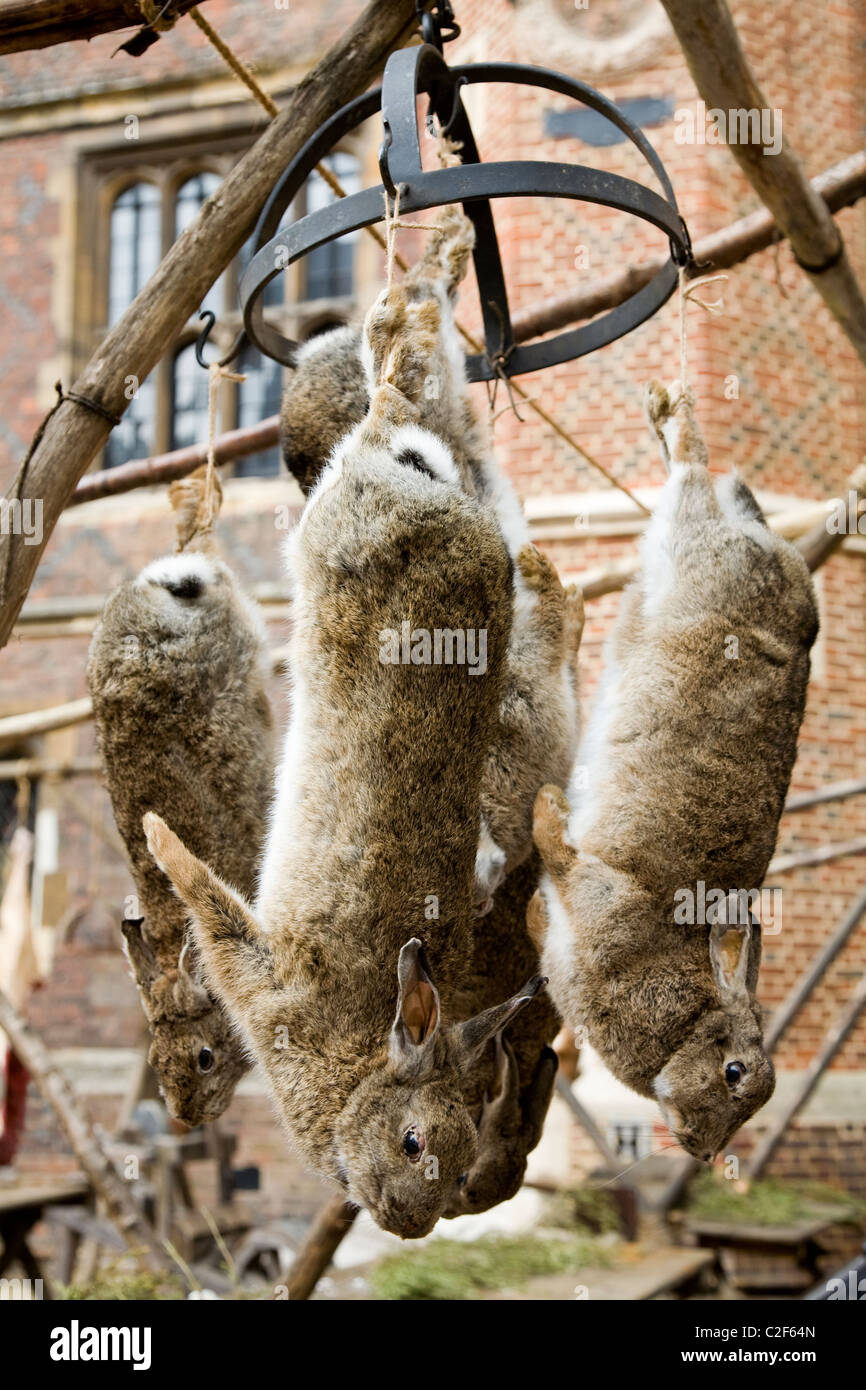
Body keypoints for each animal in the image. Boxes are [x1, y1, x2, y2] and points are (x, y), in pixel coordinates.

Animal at [143, 279, 546, 1240]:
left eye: (459, 1157)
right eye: (412, 1140)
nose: (409, 1225)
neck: (361, 1061)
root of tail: (408, 472)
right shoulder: (266, 986)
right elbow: (208, 901)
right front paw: (156, 833)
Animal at [530, 379, 819, 1164]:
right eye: (733, 1072)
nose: (700, 1150)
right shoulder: (600, 903)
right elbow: (560, 853)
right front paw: (545, 807)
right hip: (690, 550)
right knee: (692, 476)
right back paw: (671, 412)